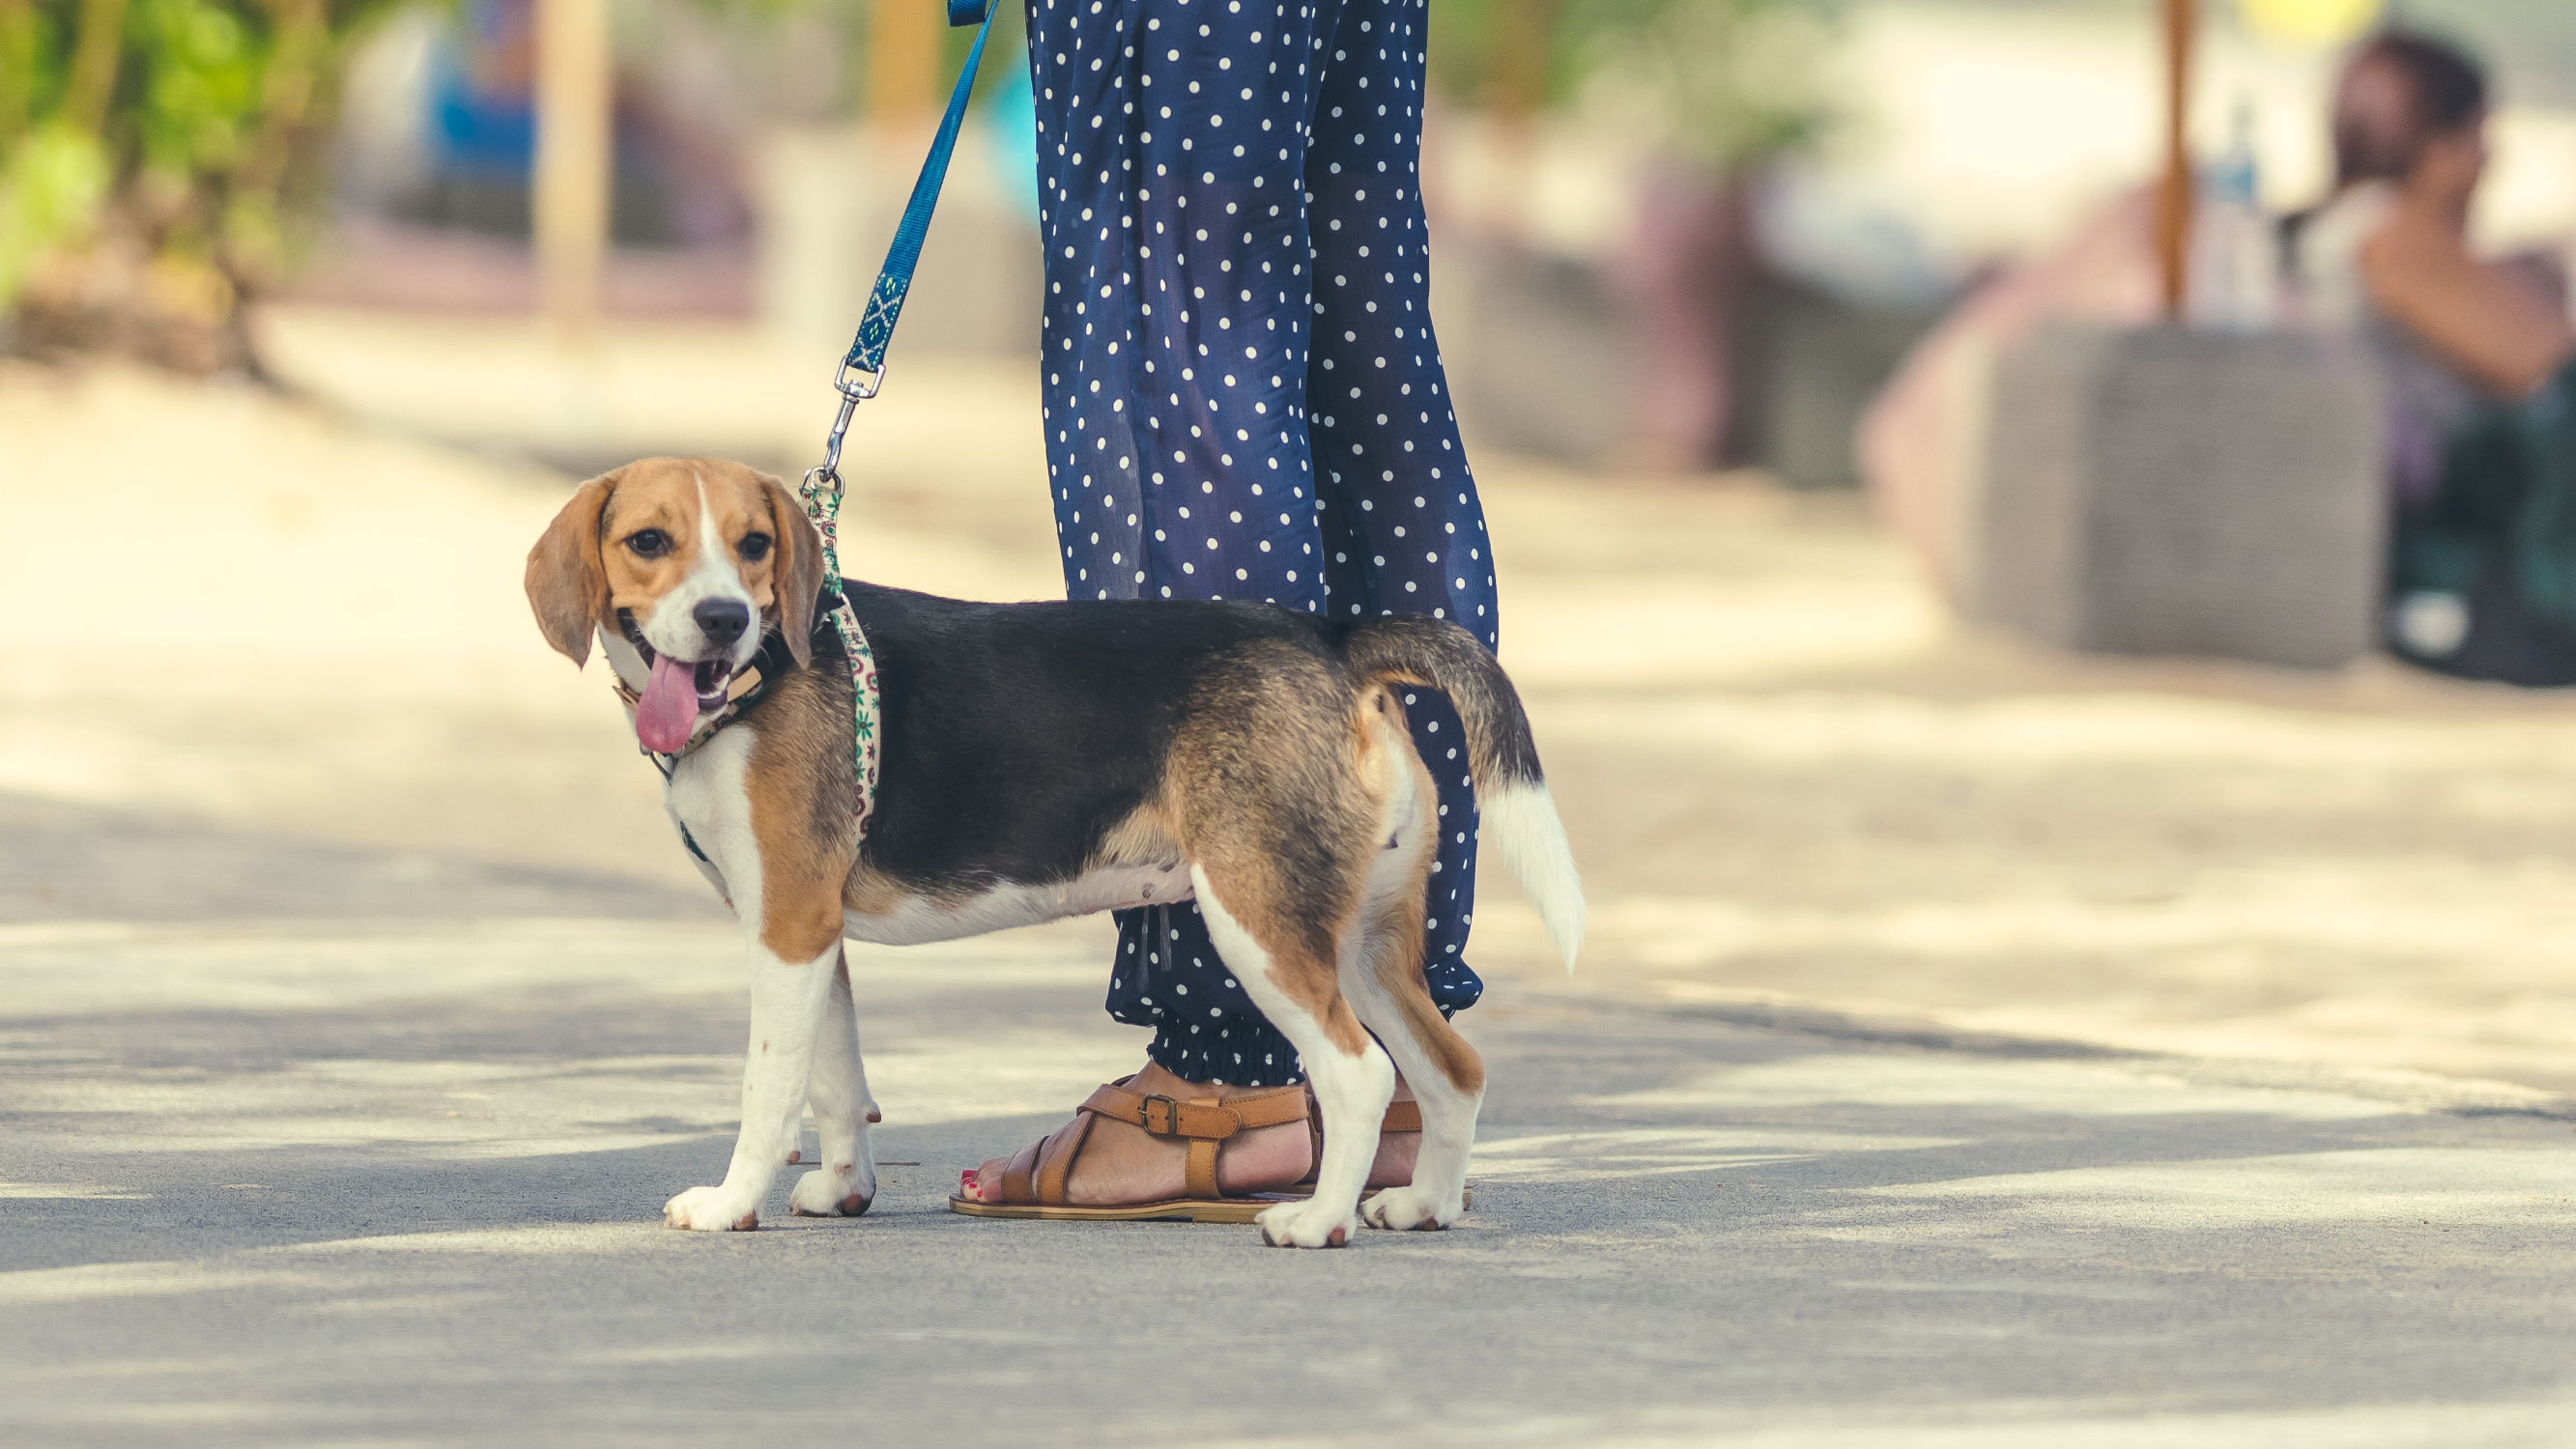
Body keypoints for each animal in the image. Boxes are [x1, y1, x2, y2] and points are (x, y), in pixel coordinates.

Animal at [523, 455, 1576, 1245]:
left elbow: (769, 1084)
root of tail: (1332, 638)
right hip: (1361, 937)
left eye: (753, 547)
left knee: (1358, 1073)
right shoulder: (809, 930)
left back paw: (1316, 1221)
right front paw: (844, 1190)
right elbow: (833, 1079)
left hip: (1259, 920)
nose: (725, 619)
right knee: (1451, 1069)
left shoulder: (785, 925)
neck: (759, 675)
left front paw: (731, 1205)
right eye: (649, 542)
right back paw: (1424, 1204)